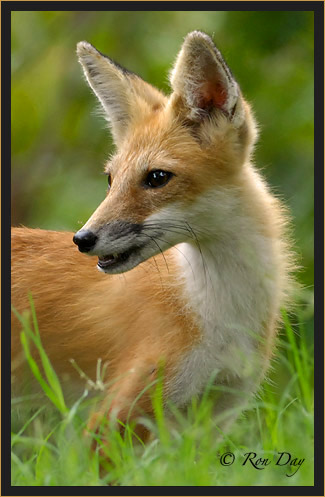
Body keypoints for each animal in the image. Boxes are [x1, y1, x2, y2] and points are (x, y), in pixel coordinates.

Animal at [11, 31, 292, 442]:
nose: (82, 239)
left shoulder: (213, 418)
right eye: (110, 179)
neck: (216, 314)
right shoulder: (115, 415)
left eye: (157, 178)